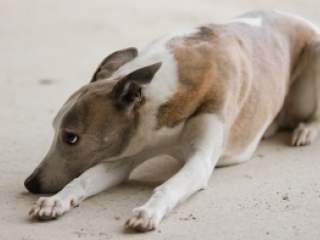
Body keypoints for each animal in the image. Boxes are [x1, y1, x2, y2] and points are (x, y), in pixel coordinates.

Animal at [24, 10, 320, 232]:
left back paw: (305, 130)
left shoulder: (200, 161)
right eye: (56, 130)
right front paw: (56, 201)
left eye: (71, 137)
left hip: (315, 54)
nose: (30, 184)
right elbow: (83, 180)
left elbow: (169, 186)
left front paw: (148, 211)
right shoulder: (126, 153)